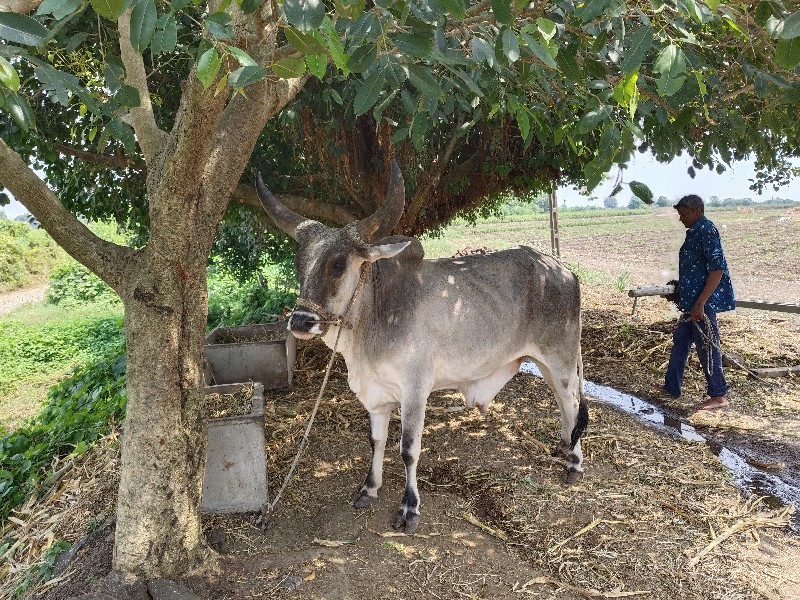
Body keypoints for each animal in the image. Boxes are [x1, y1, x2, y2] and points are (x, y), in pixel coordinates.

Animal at [256, 162, 588, 532]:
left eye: (339, 263)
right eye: (299, 263)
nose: (300, 322)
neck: (374, 319)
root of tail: (563, 270)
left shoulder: (415, 390)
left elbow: (408, 449)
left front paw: (409, 507)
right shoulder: (376, 396)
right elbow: (376, 441)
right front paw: (369, 488)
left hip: (560, 358)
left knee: (571, 402)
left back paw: (574, 462)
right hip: (545, 362)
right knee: (563, 404)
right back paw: (564, 446)